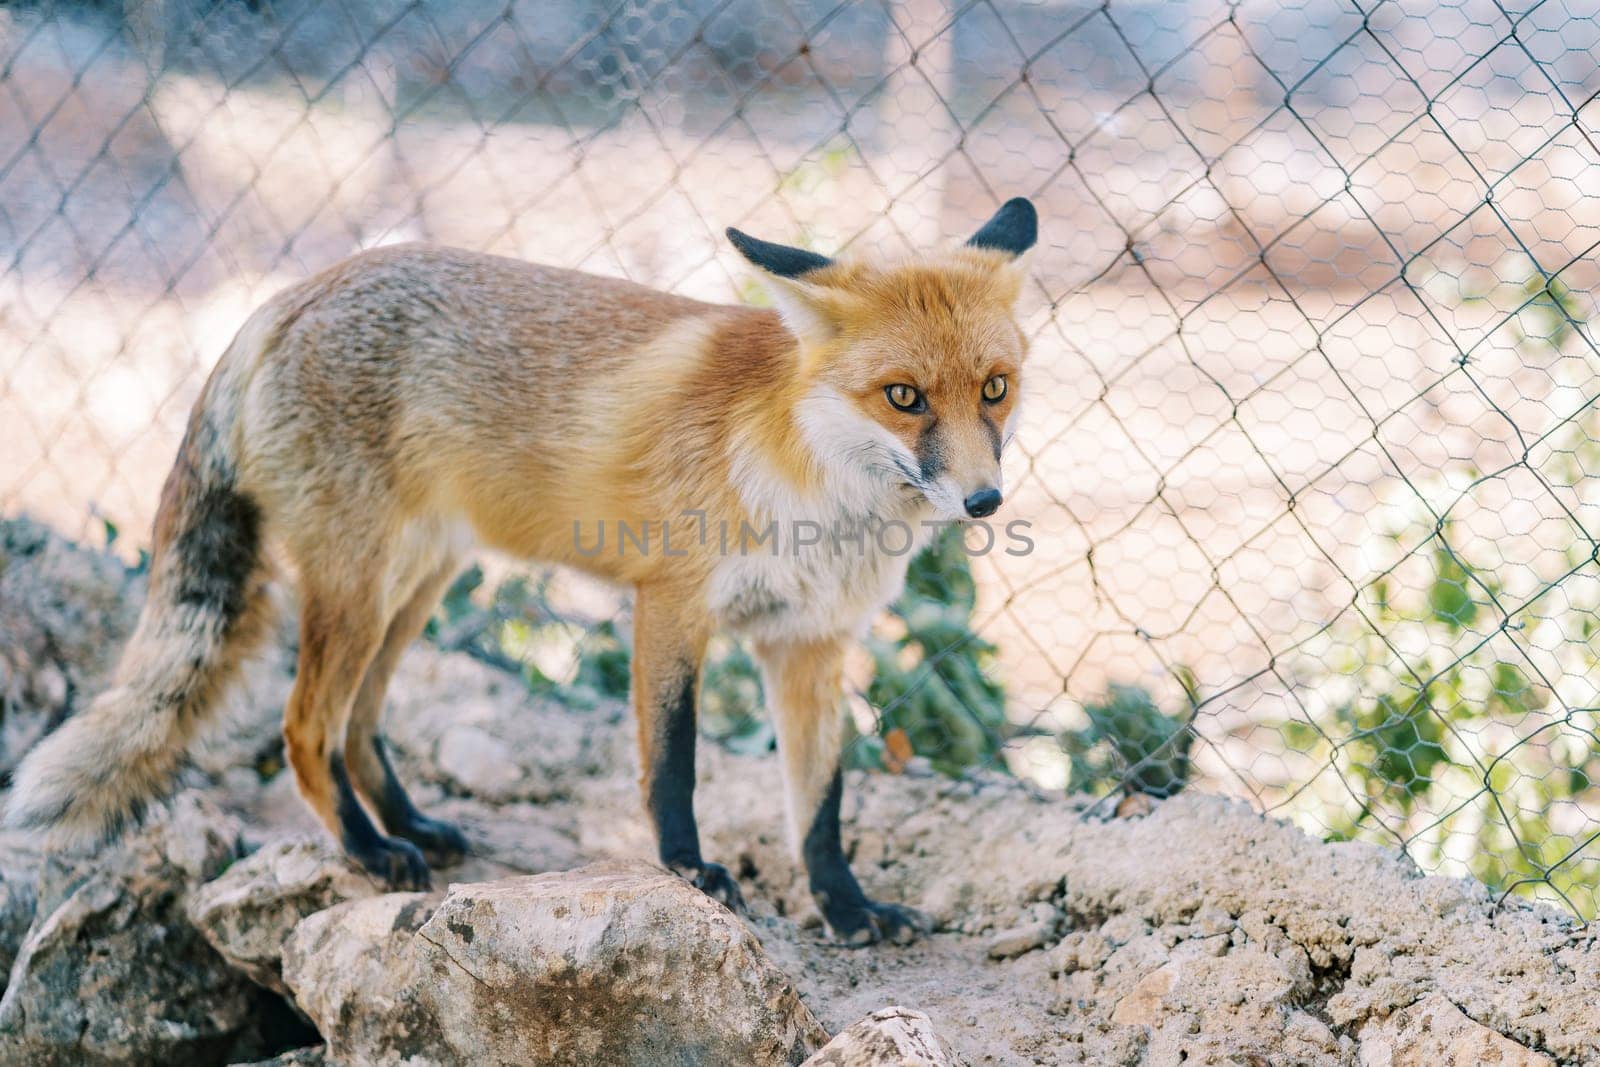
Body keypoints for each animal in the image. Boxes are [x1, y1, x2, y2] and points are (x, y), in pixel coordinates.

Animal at [6, 198, 1036, 940]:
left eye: (995, 388)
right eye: (903, 397)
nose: (983, 502)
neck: (814, 489)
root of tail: (291, 293)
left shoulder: (810, 644)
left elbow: (821, 807)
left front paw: (849, 909)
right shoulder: (671, 606)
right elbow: (673, 766)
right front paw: (689, 872)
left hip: (414, 589)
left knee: (360, 724)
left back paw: (411, 826)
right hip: (357, 587)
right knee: (305, 728)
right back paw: (367, 850)